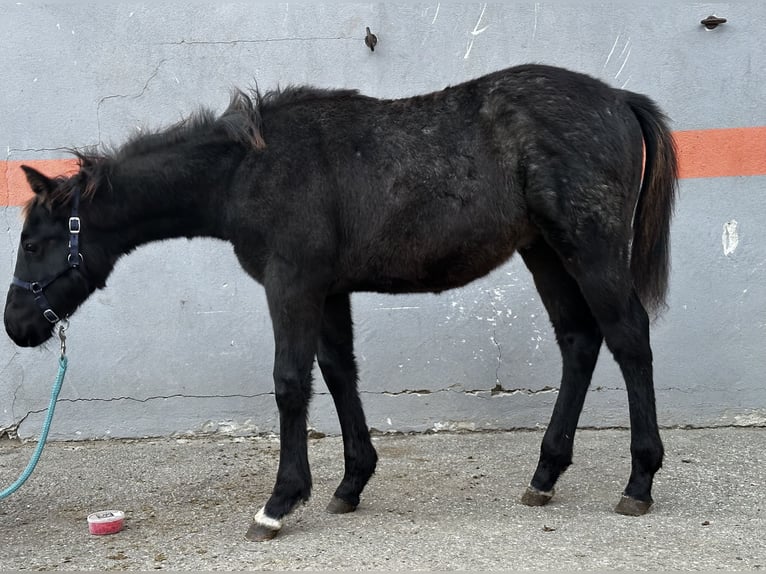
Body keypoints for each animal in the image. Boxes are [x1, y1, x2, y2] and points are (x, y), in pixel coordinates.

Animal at [6, 65, 680, 544]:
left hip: (588, 248)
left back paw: (640, 480)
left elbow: (290, 382)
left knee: (629, 337)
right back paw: (545, 475)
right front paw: (351, 482)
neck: (248, 170)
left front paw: (279, 503)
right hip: (544, 252)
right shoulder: (327, 291)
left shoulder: (292, 284)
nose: (16, 325)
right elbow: (336, 373)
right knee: (579, 341)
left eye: (34, 243)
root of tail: (618, 99)